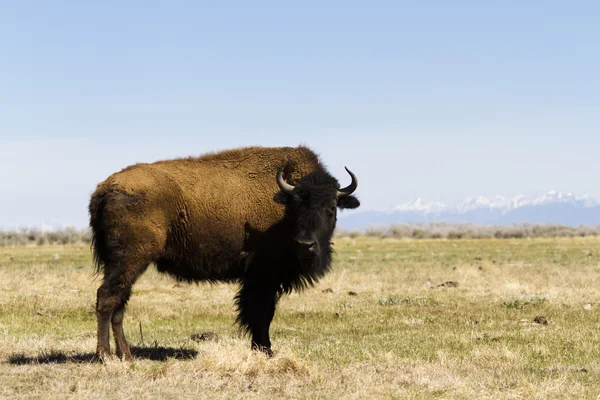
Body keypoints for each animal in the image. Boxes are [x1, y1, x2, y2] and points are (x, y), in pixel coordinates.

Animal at [89, 146, 358, 360]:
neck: (282, 209)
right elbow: (260, 313)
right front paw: (265, 351)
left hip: (125, 265)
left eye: (331, 208)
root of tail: (104, 189)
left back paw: (125, 354)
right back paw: (105, 356)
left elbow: (259, 313)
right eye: (297, 205)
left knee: (119, 303)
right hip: (130, 260)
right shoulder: (263, 277)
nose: (306, 244)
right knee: (107, 297)